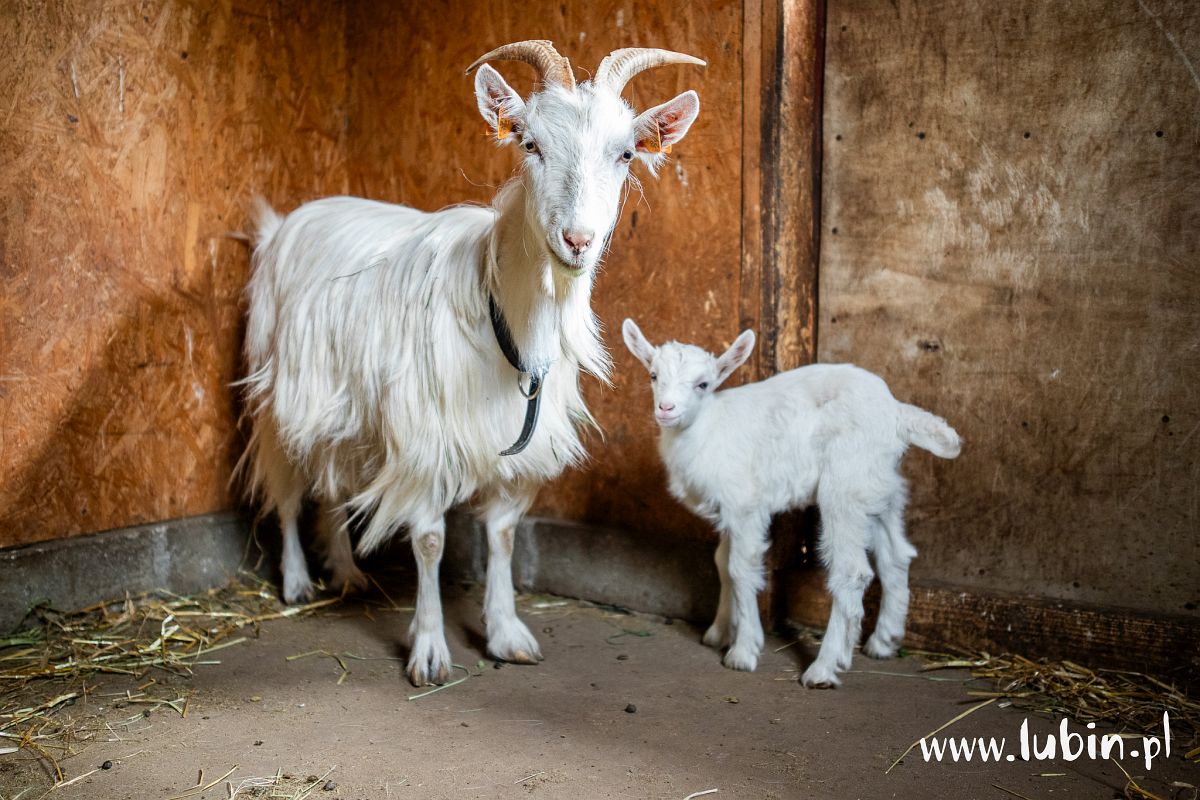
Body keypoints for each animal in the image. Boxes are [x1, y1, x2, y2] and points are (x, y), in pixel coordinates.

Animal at [241, 40, 700, 686]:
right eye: (530, 144)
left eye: (627, 153)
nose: (577, 240)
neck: (502, 308)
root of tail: (288, 221)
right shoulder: (424, 436)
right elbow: (430, 540)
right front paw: (430, 649)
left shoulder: (519, 439)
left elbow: (502, 535)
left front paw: (507, 633)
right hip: (278, 385)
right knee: (285, 485)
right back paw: (298, 580)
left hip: (347, 406)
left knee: (332, 478)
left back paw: (348, 573)